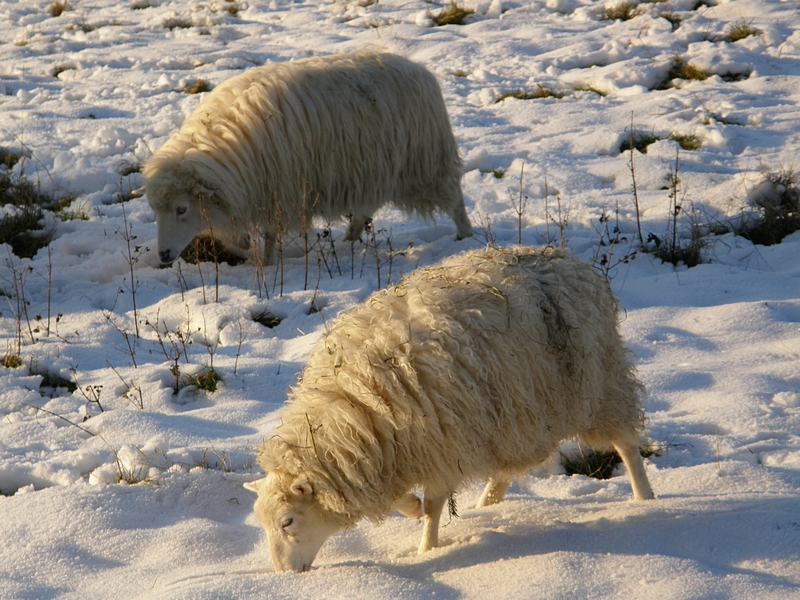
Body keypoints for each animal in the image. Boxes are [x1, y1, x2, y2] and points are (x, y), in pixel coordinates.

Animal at [141, 52, 472, 264]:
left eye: (182, 209)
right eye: (155, 211)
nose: (164, 256)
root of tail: (419, 69)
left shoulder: (277, 189)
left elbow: (270, 233)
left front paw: (268, 264)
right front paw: (245, 245)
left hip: (425, 163)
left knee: (454, 198)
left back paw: (466, 234)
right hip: (374, 168)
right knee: (365, 208)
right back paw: (349, 240)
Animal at [245, 247, 656, 572]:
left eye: (287, 522)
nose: (284, 575)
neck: (354, 407)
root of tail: (572, 261)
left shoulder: (439, 442)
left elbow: (433, 505)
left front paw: (426, 548)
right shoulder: (399, 448)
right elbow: (407, 497)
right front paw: (411, 509)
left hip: (600, 385)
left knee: (626, 443)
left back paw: (645, 500)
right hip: (515, 412)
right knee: (504, 470)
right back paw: (485, 507)